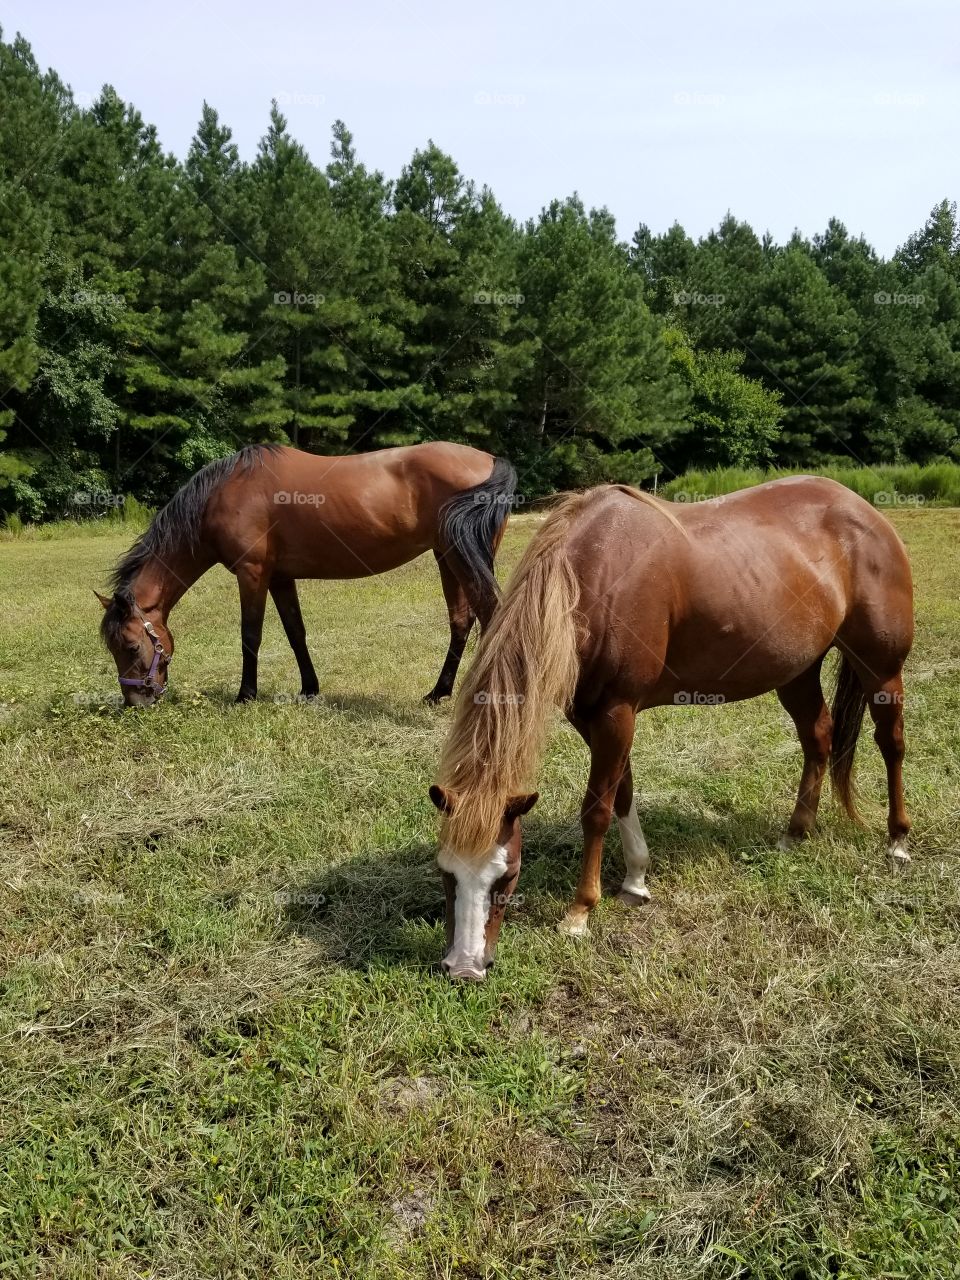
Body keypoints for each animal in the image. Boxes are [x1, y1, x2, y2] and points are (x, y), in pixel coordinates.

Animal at [97, 442, 517, 706]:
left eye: (130, 646)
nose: (135, 701)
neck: (224, 493)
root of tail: (491, 459)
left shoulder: (252, 574)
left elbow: (251, 635)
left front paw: (245, 695)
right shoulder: (280, 577)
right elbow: (295, 632)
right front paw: (309, 689)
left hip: (459, 558)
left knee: (490, 614)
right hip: (448, 557)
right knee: (462, 620)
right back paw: (438, 693)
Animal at [429, 477, 914, 981]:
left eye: (507, 876)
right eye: (445, 872)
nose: (464, 968)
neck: (593, 576)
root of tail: (861, 508)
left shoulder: (617, 712)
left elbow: (597, 809)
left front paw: (580, 911)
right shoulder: (590, 716)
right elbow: (622, 791)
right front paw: (636, 879)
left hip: (881, 668)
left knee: (891, 743)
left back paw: (898, 840)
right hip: (796, 671)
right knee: (817, 736)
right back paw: (795, 833)